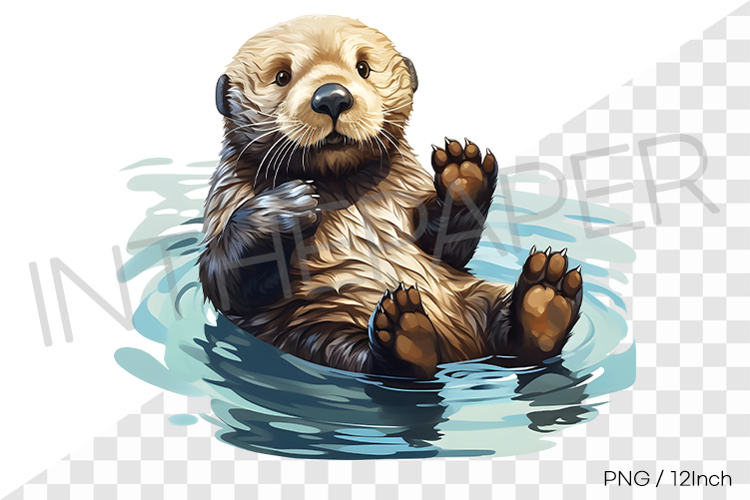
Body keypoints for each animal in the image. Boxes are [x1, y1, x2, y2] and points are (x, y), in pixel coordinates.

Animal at [198, 15, 583, 379]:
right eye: (281, 76)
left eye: (363, 67)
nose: (332, 96)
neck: (341, 184)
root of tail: (461, 352)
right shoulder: (227, 198)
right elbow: (222, 279)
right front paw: (288, 204)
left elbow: (446, 248)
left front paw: (463, 171)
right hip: (311, 328)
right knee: (369, 359)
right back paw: (408, 334)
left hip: (476, 295)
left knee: (513, 338)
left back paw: (545, 299)